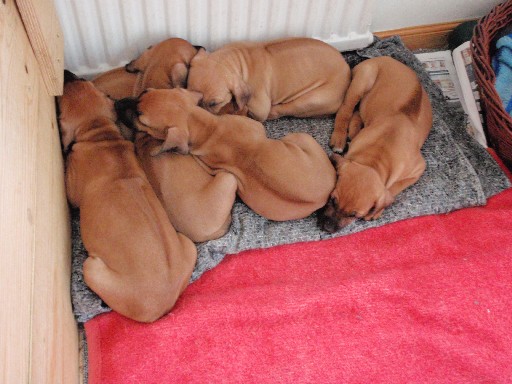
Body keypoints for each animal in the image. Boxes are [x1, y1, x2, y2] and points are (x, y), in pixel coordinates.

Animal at [58, 71, 197, 320]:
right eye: (83, 80)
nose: (66, 72)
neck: (99, 134)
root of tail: (162, 307)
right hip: (187, 243)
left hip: (90, 268)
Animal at [117, 88, 338, 220]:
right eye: (144, 91)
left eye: (141, 119)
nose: (117, 103)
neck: (207, 127)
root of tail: (326, 194)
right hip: (301, 136)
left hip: (300, 136)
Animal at [320, 56, 432, 232]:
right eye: (332, 200)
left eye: (354, 215)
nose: (327, 228)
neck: (376, 155)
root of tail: (385, 58)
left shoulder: (418, 169)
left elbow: (393, 189)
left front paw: (378, 210)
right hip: (362, 81)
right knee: (345, 109)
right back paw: (340, 137)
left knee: (358, 111)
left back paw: (354, 128)